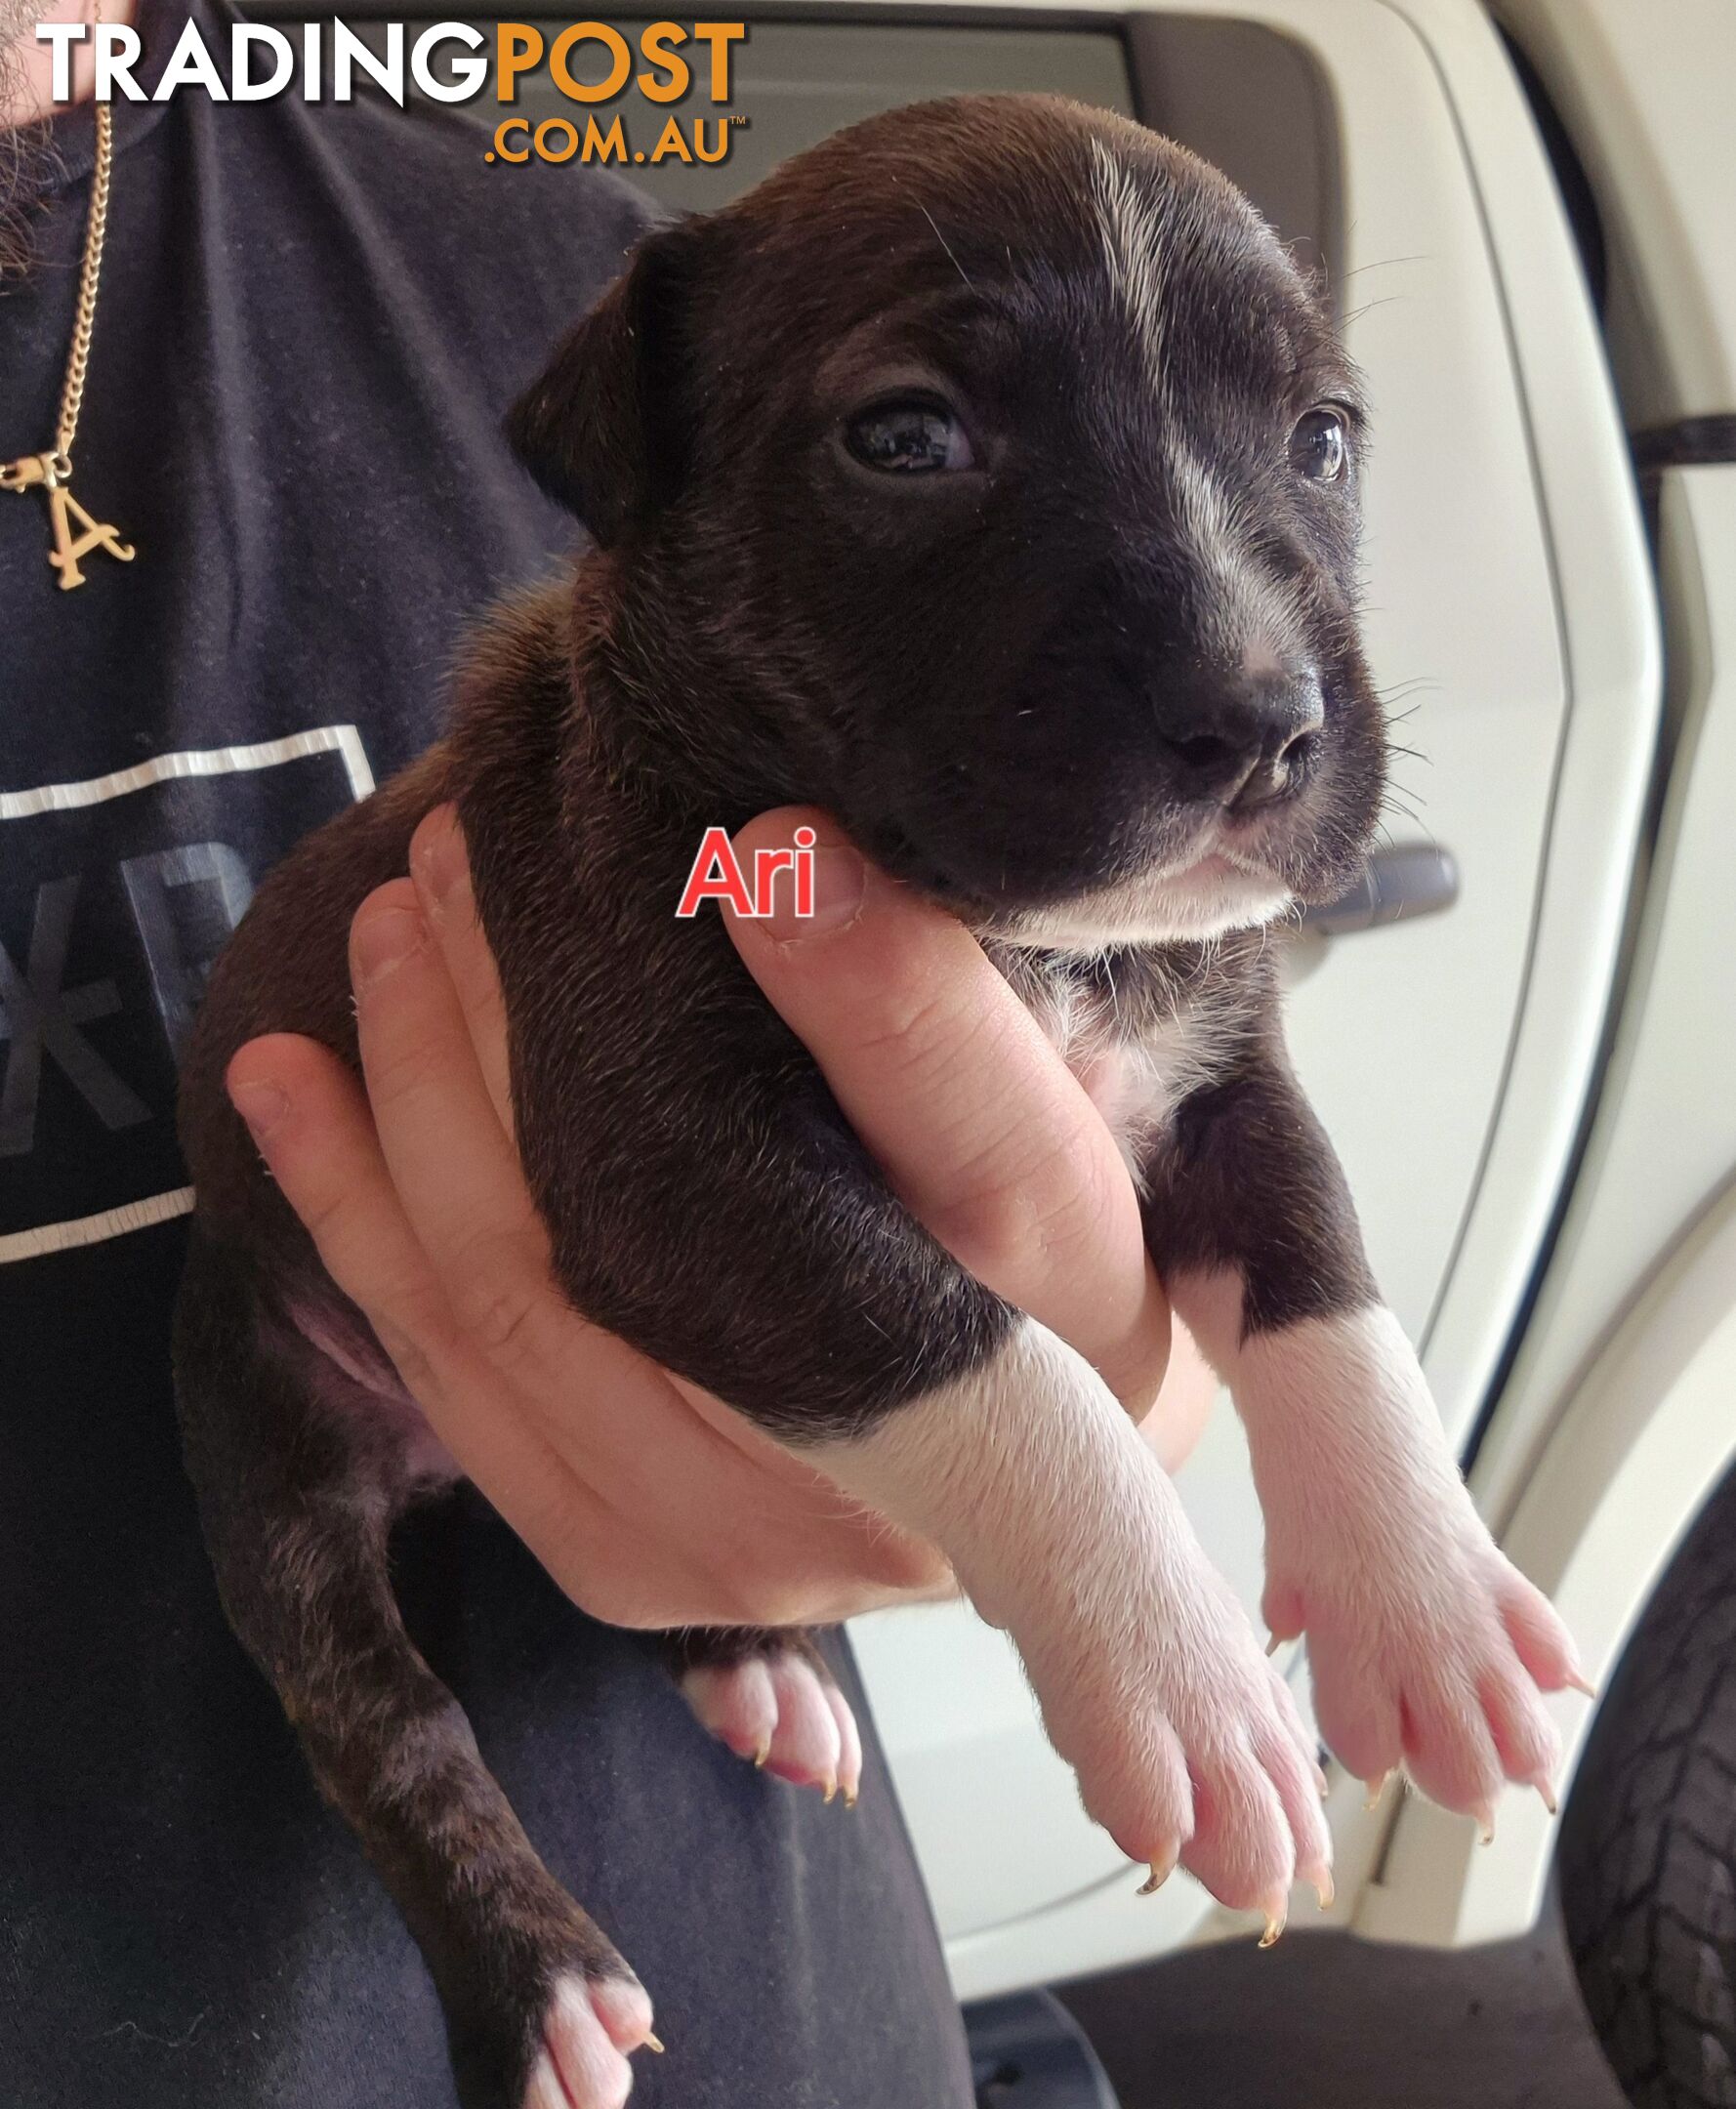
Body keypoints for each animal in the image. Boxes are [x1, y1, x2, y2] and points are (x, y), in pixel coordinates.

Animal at [180, 95, 1586, 2109]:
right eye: (906, 439)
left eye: (1321, 440)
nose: (1260, 718)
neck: (1021, 943)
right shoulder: (677, 1170)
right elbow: (985, 1353)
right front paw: (1183, 1680)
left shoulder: (1222, 1082)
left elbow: (1328, 1292)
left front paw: (1433, 1602)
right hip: (263, 1432)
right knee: (384, 1720)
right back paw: (543, 1981)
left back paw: (752, 1658)